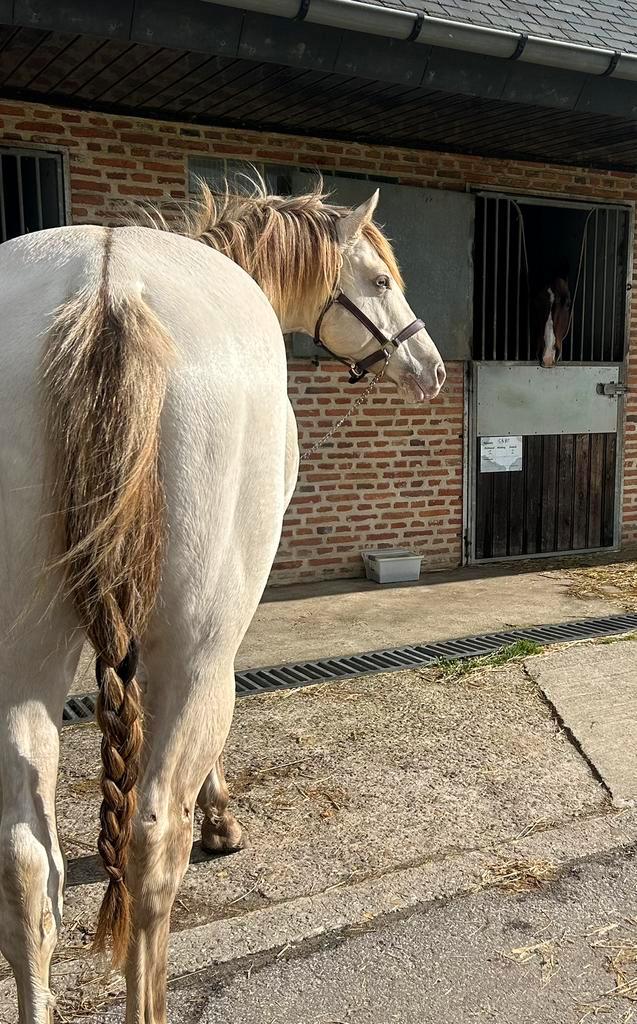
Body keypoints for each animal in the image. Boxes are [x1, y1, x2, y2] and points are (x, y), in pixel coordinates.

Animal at [0, 180, 445, 1023]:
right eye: (378, 279)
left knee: (23, 864)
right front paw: (220, 817)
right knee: (148, 842)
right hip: (196, 643)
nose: (429, 367)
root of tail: (108, 286)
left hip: (20, 663)